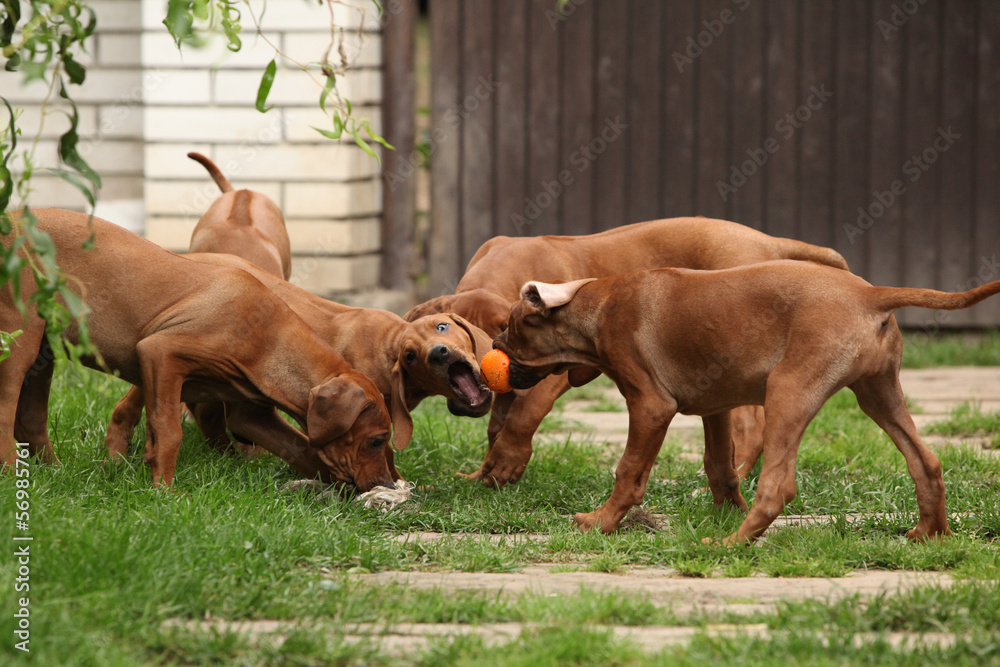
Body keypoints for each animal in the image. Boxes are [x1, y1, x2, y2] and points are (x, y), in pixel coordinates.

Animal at [2, 209, 394, 490]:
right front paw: (164, 491)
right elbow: (169, 431)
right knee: (7, 411)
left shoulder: (250, 413)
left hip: (43, 352)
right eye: (376, 441)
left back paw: (54, 473)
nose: (389, 484)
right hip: (20, 340)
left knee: (30, 419)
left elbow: (302, 448)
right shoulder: (160, 353)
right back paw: (10, 473)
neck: (268, 335)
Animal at [404, 218, 844, 486]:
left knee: (751, 422)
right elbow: (498, 423)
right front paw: (484, 473)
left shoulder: (553, 370)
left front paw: (507, 460)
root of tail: (768, 241)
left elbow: (522, 416)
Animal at [500, 264, 1000, 544]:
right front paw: (725, 510)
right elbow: (720, 466)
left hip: (788, 390)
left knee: (778, 486)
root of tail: (869, 292)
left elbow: (629, 472)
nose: (496, 353)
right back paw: (933, 534)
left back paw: (730, 545)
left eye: (510, 324)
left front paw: (601, 522)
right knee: (926, 459)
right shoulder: (715, 407)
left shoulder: (650, 405)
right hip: (879, 393)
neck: (598, 304)